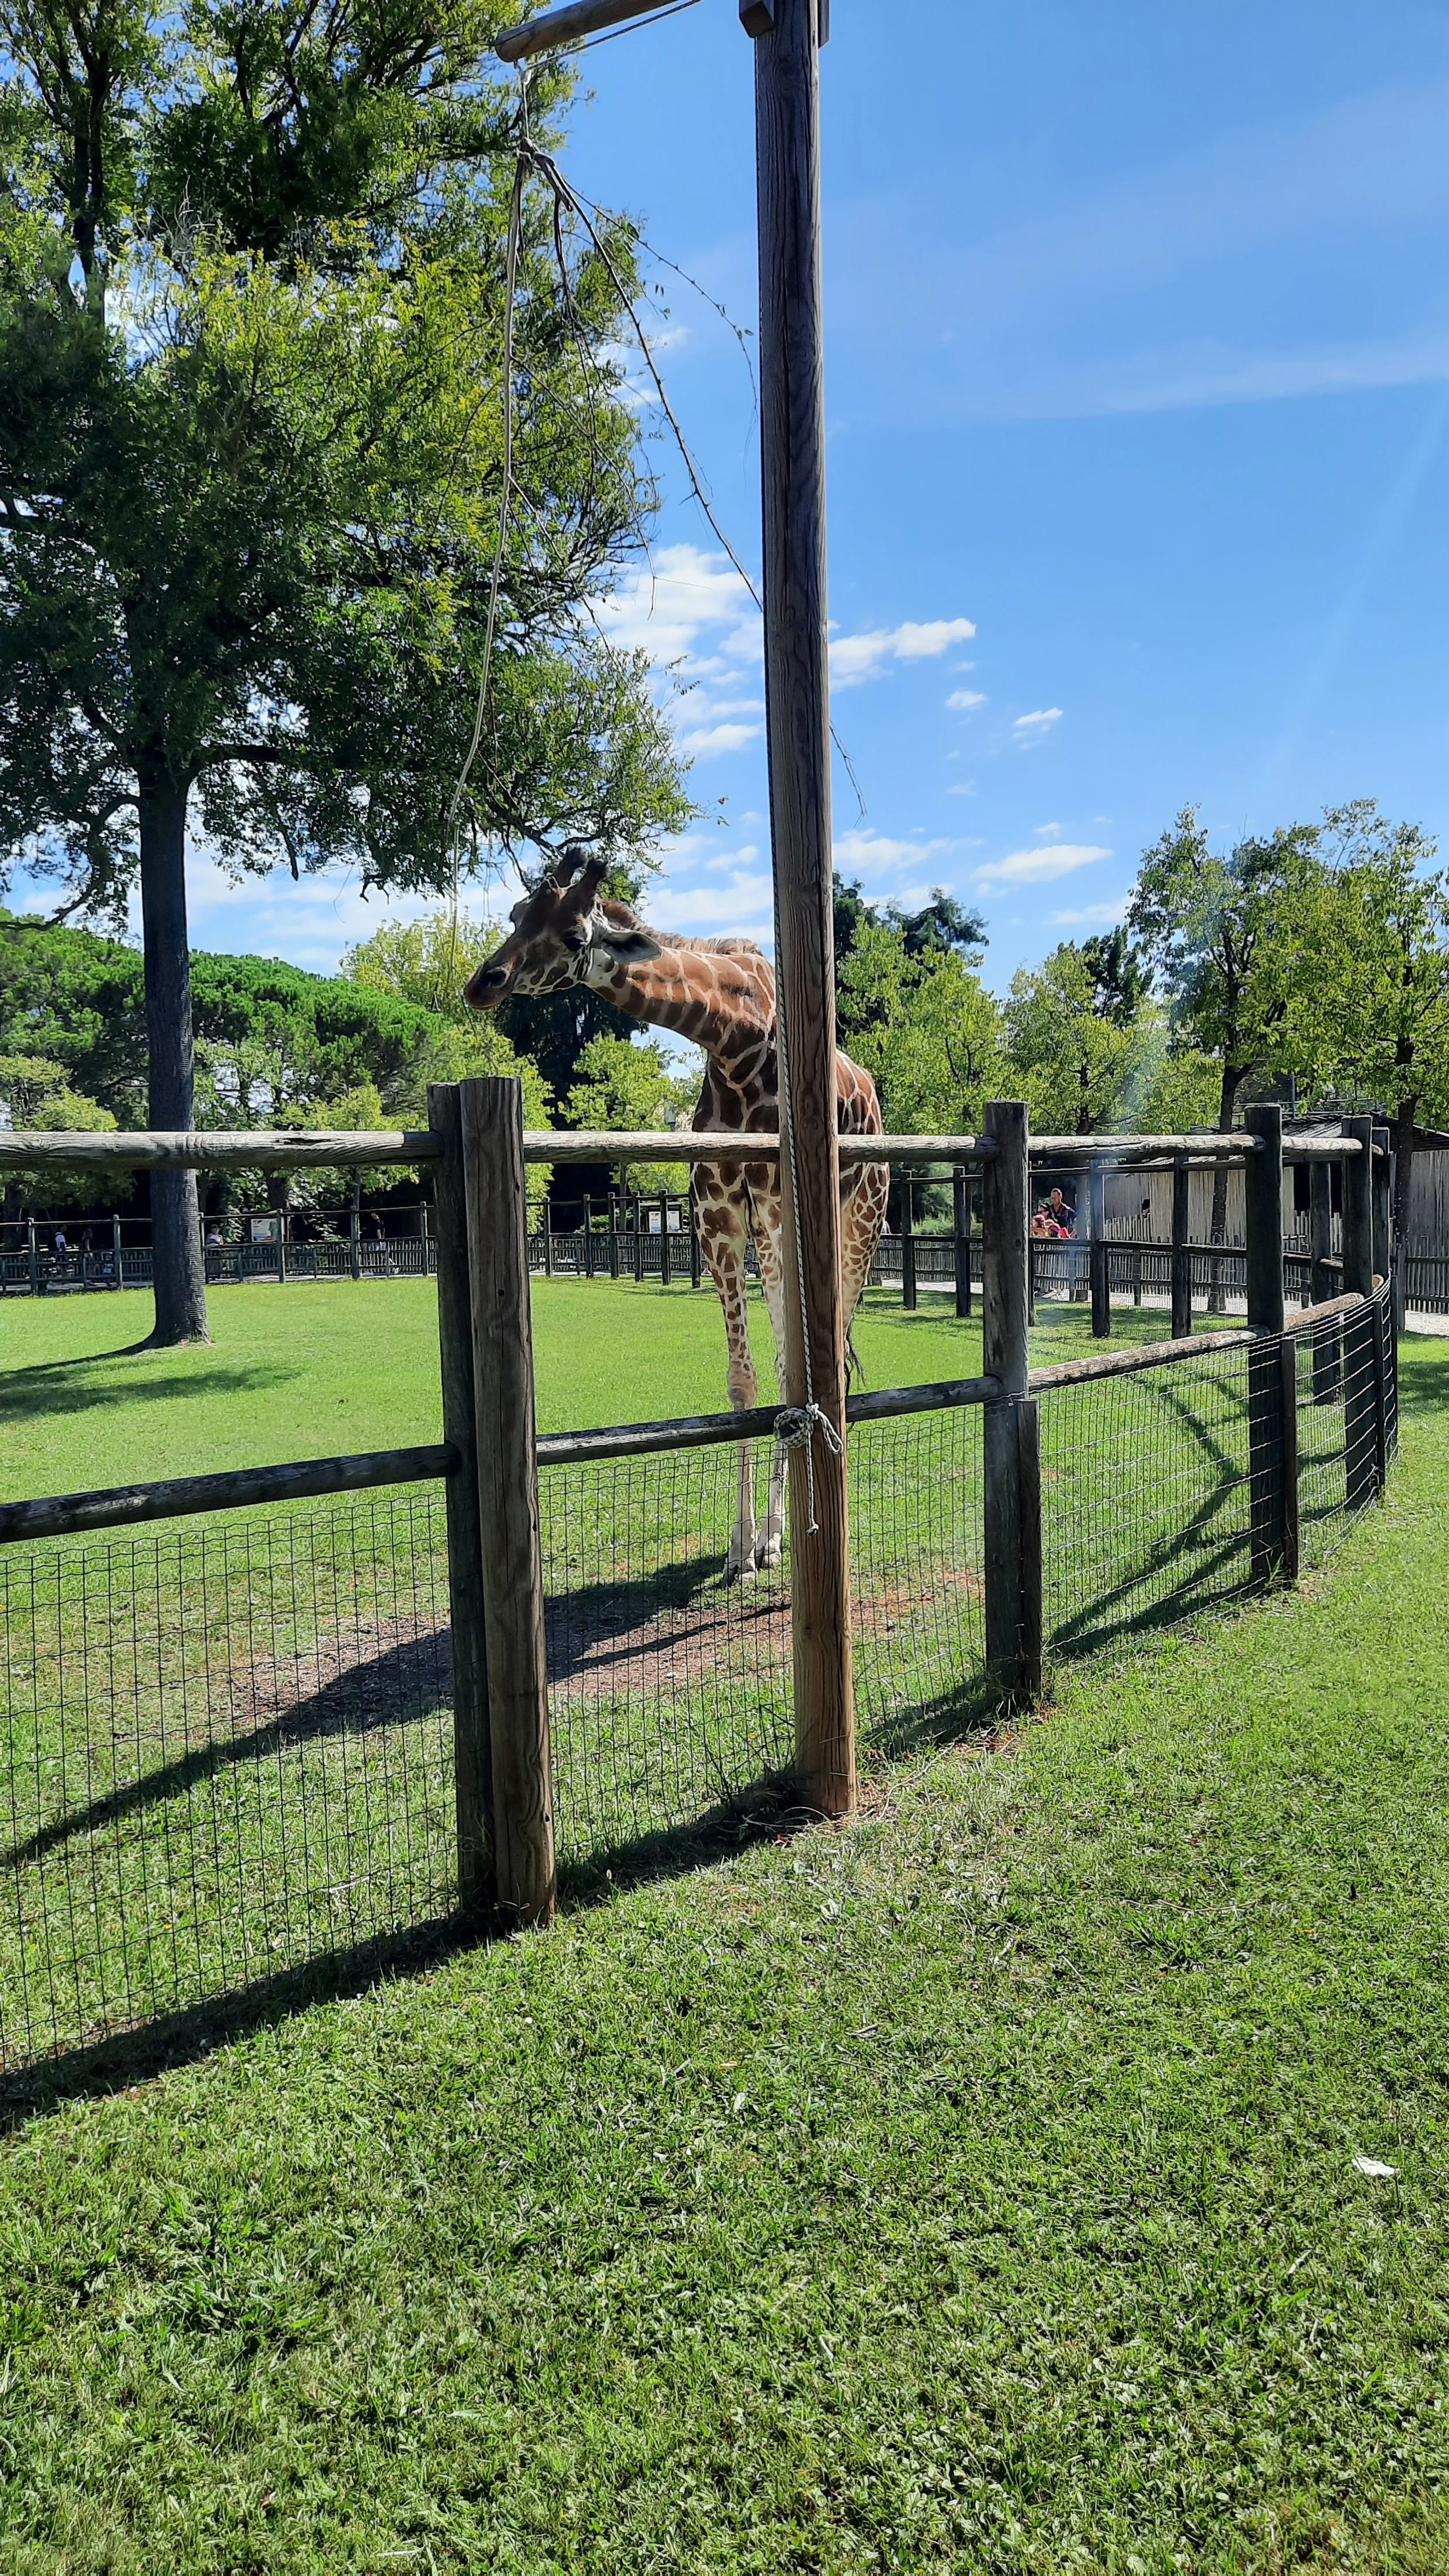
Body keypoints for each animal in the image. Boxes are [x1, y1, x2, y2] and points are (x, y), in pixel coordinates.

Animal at [464, 849, 890, 1578]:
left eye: (574, 935)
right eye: (518, 914)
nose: (483, 983)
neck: (733, 1042)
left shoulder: (780, 1214)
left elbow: (791, 1371)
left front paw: (771, 1540)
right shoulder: (719, 1220)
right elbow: (744, 1381)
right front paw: (741, 1548)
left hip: (859, 1222)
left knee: (830, 1355)